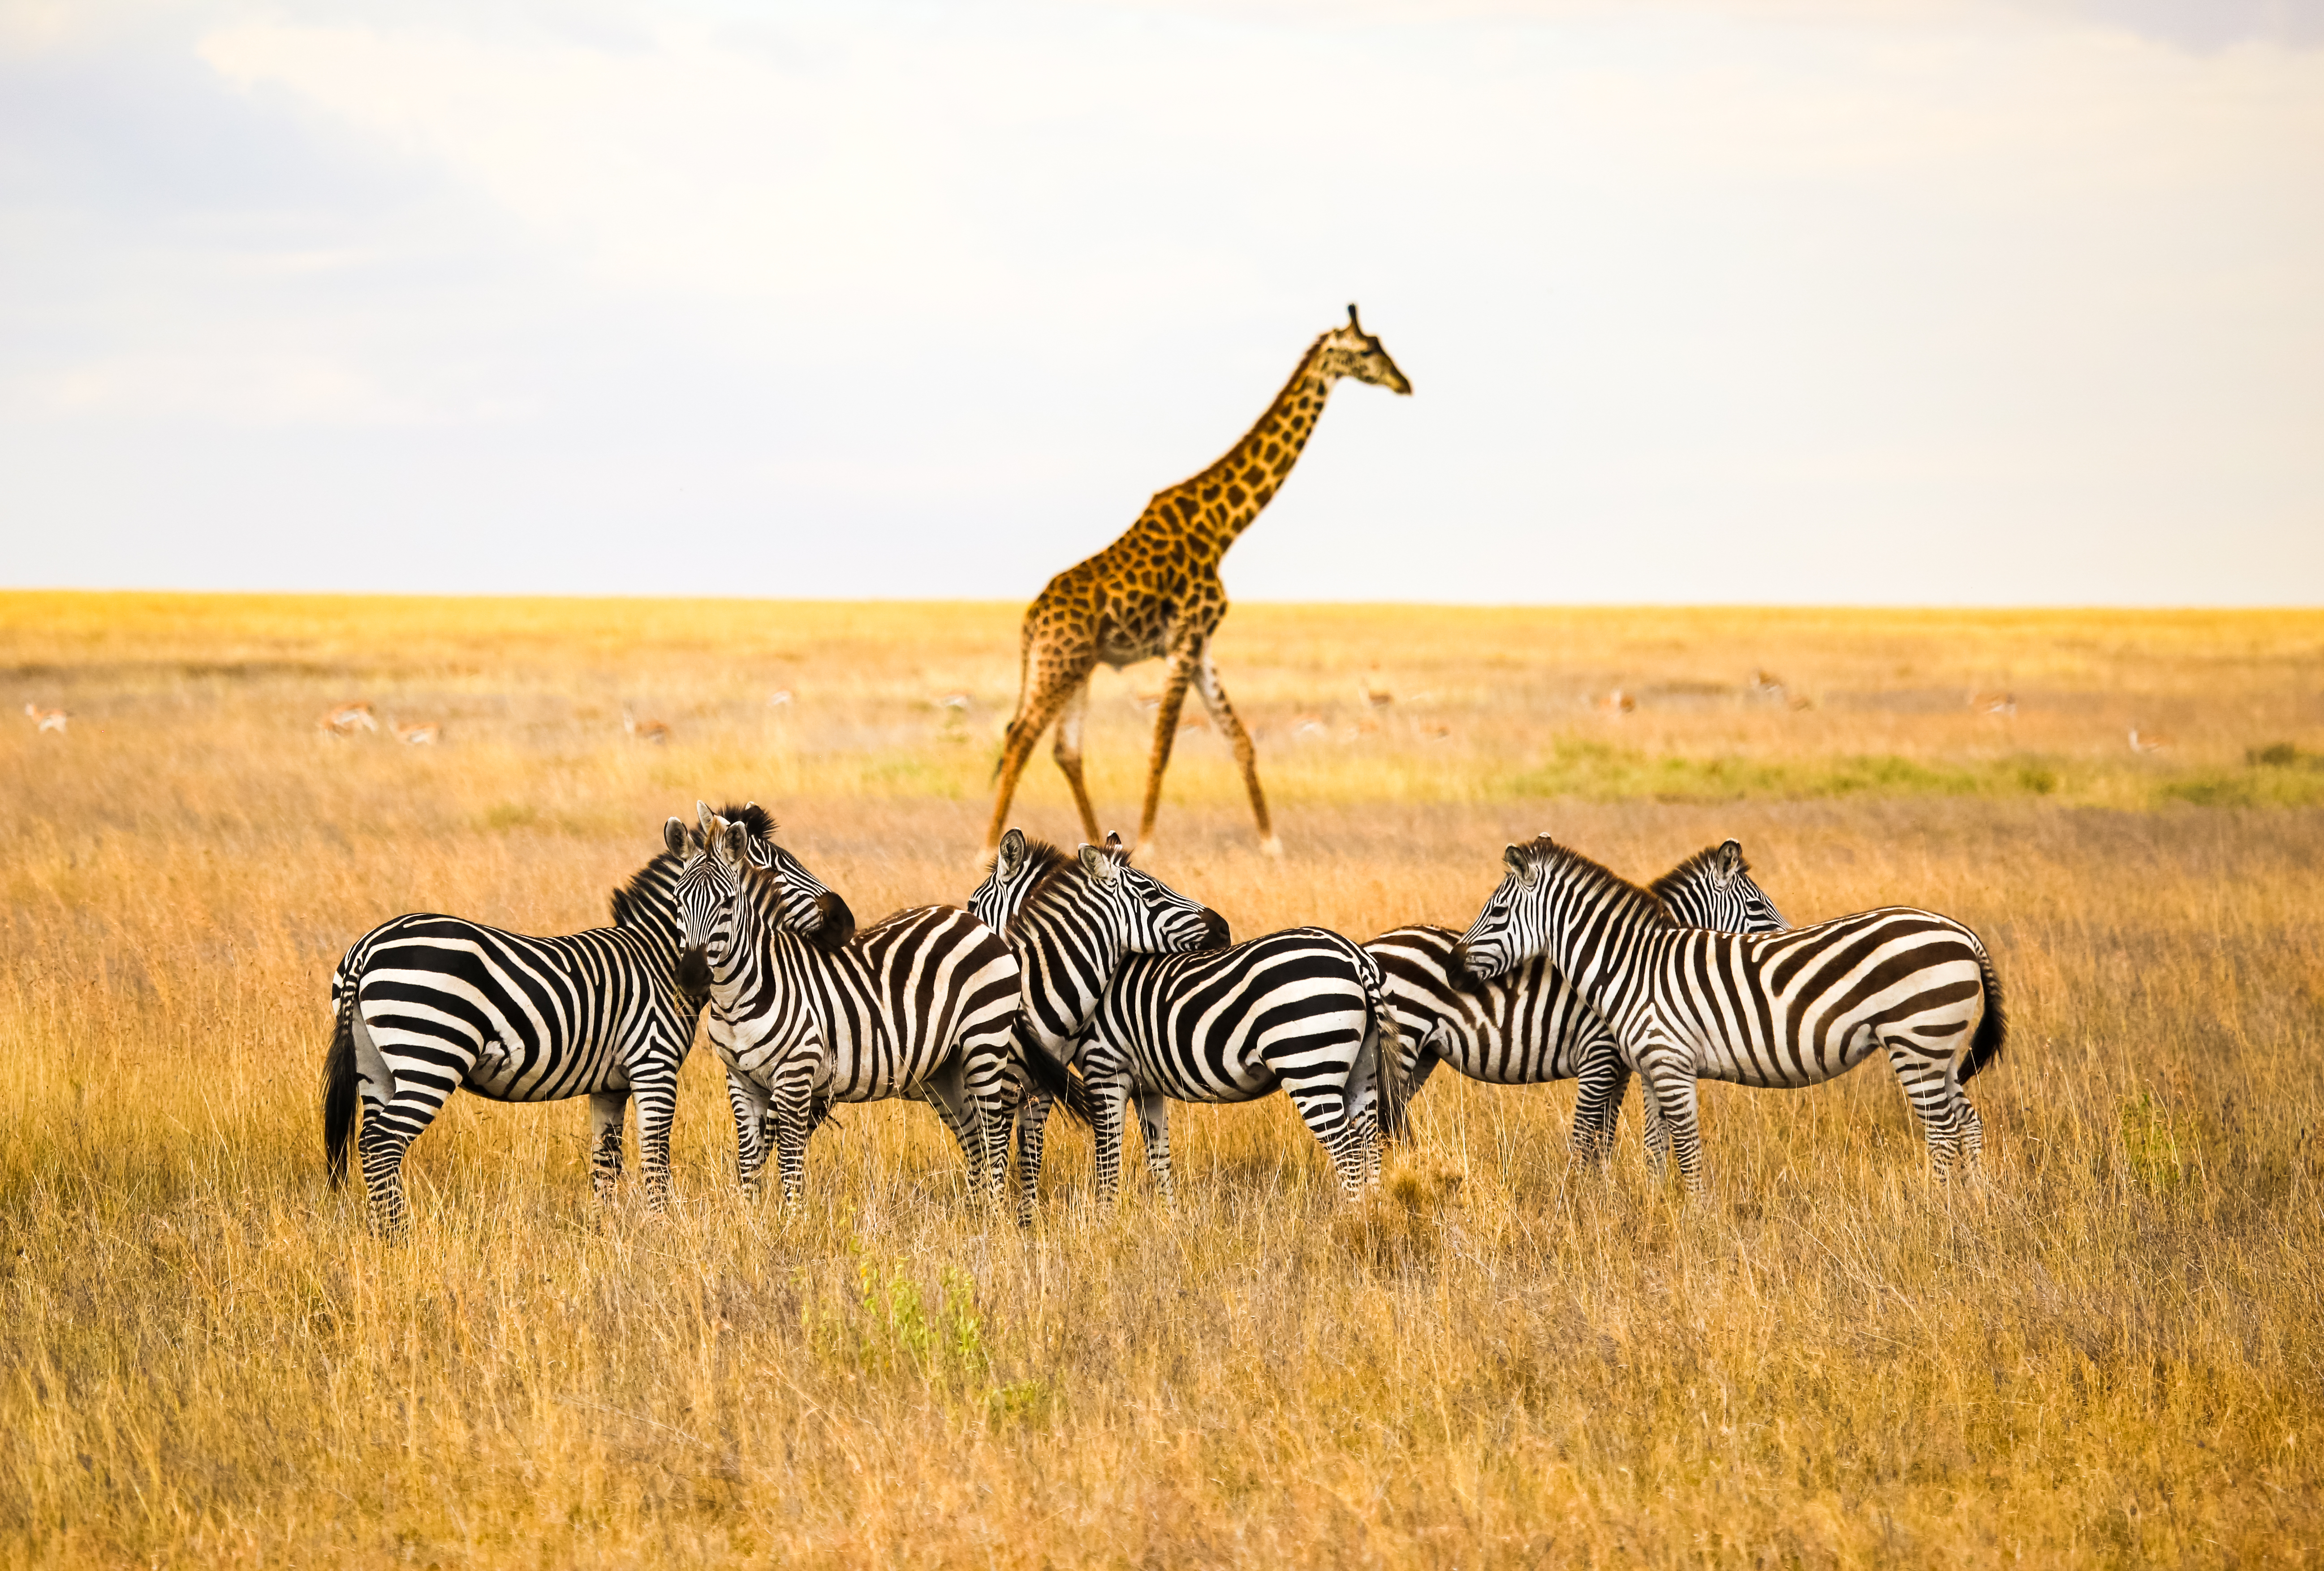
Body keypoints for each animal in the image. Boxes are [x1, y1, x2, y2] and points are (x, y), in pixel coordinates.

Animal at [321, 803, 839, 1235]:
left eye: (727, 902)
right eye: (779, 869)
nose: (844, 920)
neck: (657, 953)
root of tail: (368, 945)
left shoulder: (609, 1085)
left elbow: (605, 1164)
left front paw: (605, 1232)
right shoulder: (654, 1066)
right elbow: (655, 1158)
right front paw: (662, 1229)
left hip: (376, 1063)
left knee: (368, 1142)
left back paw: (380, 1235)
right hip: (430, 1053)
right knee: (383, 1143)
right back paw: (398, 1237)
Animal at [669, 806, 1027, 1207]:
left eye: (728, 903)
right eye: (678, 901)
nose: (691, 975)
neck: (741, 993)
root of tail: (970, 920)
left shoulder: (795, 1077)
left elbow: (789, 1164)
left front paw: (792, 1218)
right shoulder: (740, 1081)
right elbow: (749, 1163)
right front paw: (749, 1216)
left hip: (984, 1043)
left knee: (994, 1135)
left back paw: (994, 1211)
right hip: (945, 1068)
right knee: (975, 1138)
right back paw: (975, 1211)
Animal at [982, 306, 1412, 861]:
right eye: (1366, 351)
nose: (1404, 383)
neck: (1223, 527)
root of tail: (1032, 619)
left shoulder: (1203, 644)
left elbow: (1240, 739)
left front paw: (1272, 844)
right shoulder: (1185, 638)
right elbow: (1163, 743)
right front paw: (1147, 844)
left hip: (1076, 666)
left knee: (1064, 748)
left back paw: (1093, 844)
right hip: (1059, 663)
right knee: (1021, 736)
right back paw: (988, 850)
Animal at [1367, 838, 1788, 1160]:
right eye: (1757, 906)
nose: (1788, 939)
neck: (1630, 961)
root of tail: (1369, 948)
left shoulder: (1619, 1069)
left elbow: (1605, 1137)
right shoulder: (1599, 1056)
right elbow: (1587, 1139)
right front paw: (1586, 1202)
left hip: (1421, 1056)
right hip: (1404, 1044)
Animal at [1450, 834, 2006, 1190]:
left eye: (1496, 911)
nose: (1454, 967)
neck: (1630, 963)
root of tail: (1962, 931)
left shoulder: (1664, 1063)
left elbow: (1684, 1147)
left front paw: (1696, 1217)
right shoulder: (1649, 1066)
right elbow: (1655, 1144)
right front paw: (1655, 1206)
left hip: (1917, 1039)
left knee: (1942, 1130)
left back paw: (1937, 1206)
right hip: (1938, 1046)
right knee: (1967, 1121)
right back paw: (1972, 1201)